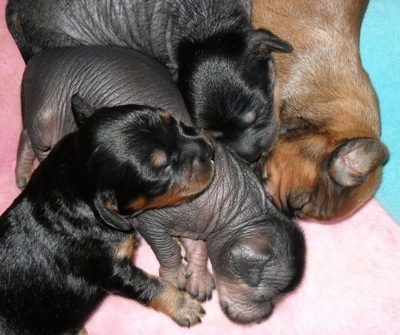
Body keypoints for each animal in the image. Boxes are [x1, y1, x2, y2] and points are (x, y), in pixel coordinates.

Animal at [0, 100, 216, 335]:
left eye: (174, 122)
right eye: (162, 169)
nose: (210, 151)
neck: (77, 181)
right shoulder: (109, 269)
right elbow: (149, 284)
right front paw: (183, 306)